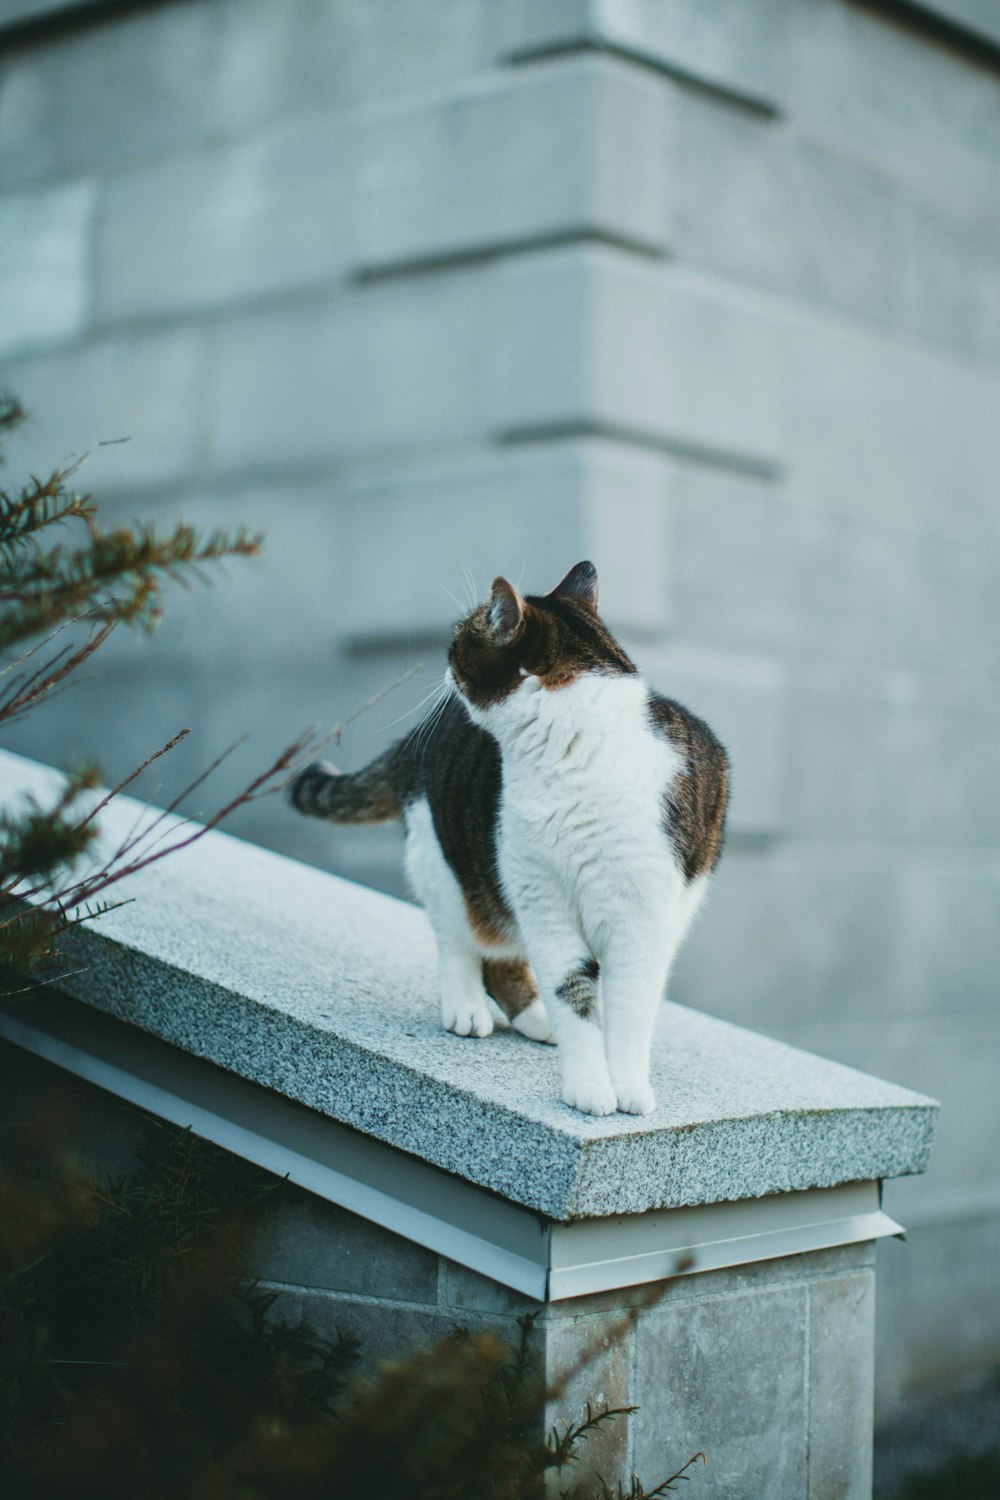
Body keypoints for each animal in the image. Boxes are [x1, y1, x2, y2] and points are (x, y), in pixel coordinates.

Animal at [289, 567, 728, 1122]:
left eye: (458, 642)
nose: (443, 668)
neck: (578, 749)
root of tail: (414, 740)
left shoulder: (643, 920)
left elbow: (631, 1006)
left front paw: (627, 1085)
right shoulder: (544, 900)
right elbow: (572, 992)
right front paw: (589, 1087)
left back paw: (535, 1020)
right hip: (451, 861)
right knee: (460, 940)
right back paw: (468, 1009)